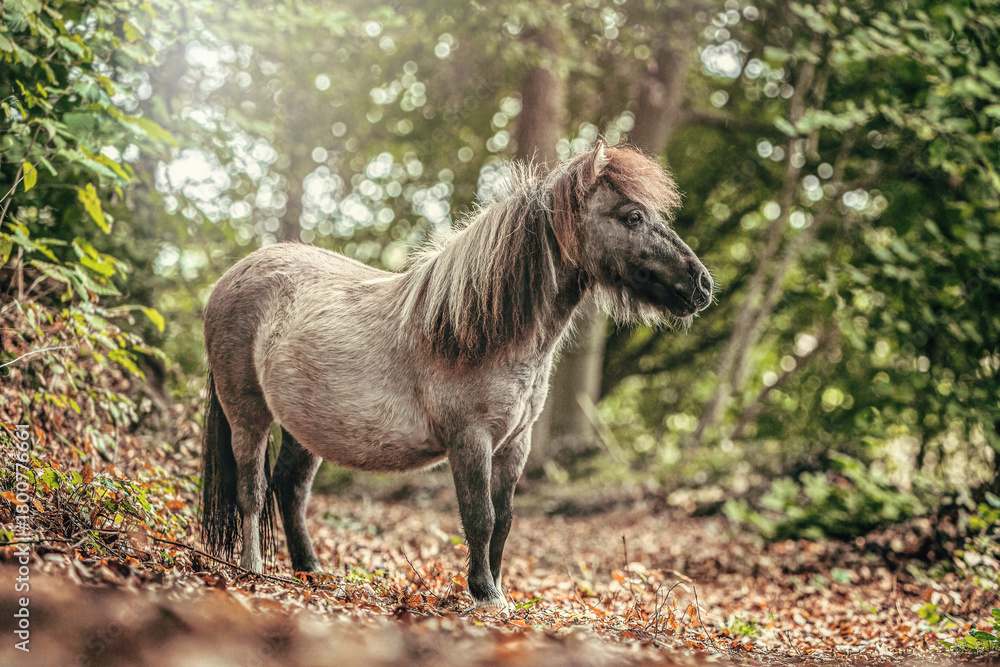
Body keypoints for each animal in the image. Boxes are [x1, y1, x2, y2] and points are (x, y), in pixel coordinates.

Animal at [200, 142, 714, 612]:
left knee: (290, 489)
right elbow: (479, 517)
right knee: (252, 491)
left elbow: (504, 519)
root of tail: (230, 278)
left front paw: (500, 592)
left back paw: (310, 572)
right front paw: (485, 594)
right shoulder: (471, 440)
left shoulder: (515, 444)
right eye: (632, 216)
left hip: (305, 429)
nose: (702, 285)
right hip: (247, 414)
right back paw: (251, 568)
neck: (478, 330)